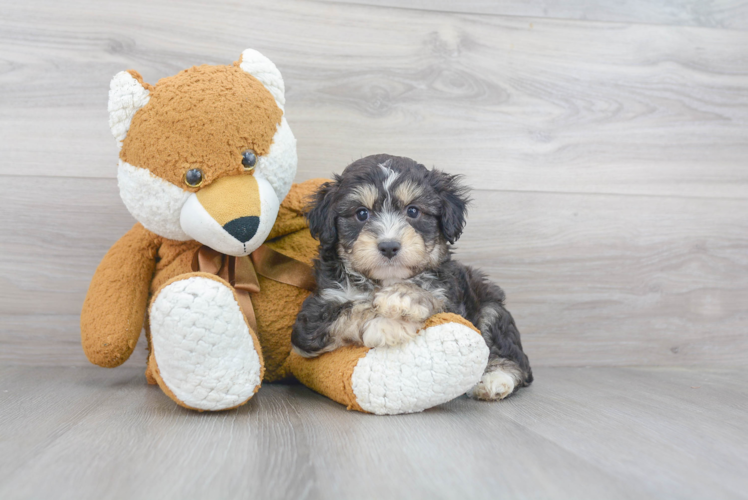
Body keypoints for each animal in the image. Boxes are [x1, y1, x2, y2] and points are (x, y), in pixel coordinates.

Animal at [292, 154, 532, 400]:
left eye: (413, 211)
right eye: (361, 213)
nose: (389, 246)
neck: (384, 280)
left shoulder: (450, 299)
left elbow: (428, 297)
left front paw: (402, 297)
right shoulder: (313, 315)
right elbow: (348, 309)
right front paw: (386, 322)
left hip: (490, 305)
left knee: (515, 356)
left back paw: (496, 379)